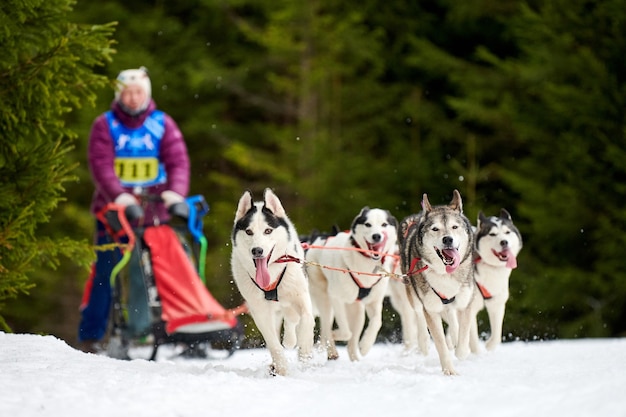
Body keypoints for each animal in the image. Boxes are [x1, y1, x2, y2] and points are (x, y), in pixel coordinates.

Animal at [230, 188, 314, 374]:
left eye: (268, 231)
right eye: (248, 232)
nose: (257, 250)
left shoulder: (301, 300)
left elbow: (306, 324)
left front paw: (304, 355)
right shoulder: (260, 312)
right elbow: (274, 344)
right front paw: (281, 369)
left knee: (293, 321)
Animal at [304, 208, 398, 360]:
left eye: (384, 224)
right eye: (367, 224)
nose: (377, 236)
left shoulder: (374, 301)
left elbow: (377, 322)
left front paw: (365, 345)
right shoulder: (336, 298)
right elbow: (345, 331)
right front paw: (336, 335)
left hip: (357, 310)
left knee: (351, 339)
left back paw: (355, 359)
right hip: (324, 298)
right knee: (327, 326)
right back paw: (332, 349)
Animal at [400, 189, 472, 374]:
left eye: (454, 227)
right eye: (435, 229)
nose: (447, 239)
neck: (445, 274)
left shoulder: (465, 302)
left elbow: (464, 333)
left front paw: (461, 350)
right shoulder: (430, 309)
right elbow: (440, 343)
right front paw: (449, 370)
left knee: (452, 315)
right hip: (413, 294)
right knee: (419, 315)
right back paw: (424, 343)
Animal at [466, 208, 520, 352]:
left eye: (507, 232)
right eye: (492, 234)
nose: (504, 242)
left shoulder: (497, 303)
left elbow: (496, 335)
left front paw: (489, 345)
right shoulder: (469, 309)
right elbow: (472, 339)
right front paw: (476, 354)